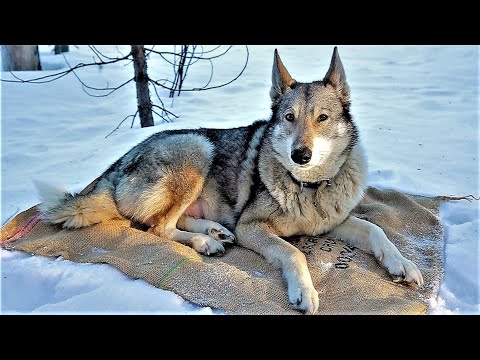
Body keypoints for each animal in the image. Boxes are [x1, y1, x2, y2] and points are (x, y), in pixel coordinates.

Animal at [37, 48, 422, 316]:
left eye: (322, 118)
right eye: (289, 117)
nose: (300, 155)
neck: (309, 188)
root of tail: (118, 165)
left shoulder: (332, 222)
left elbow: (377, 230)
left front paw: (402, 264)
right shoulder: (253, 226)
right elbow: (295, 251)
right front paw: (305, 291)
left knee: (172, 221)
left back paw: (215, 231)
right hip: (197, 149)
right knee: (157, 228)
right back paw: (205, 242)